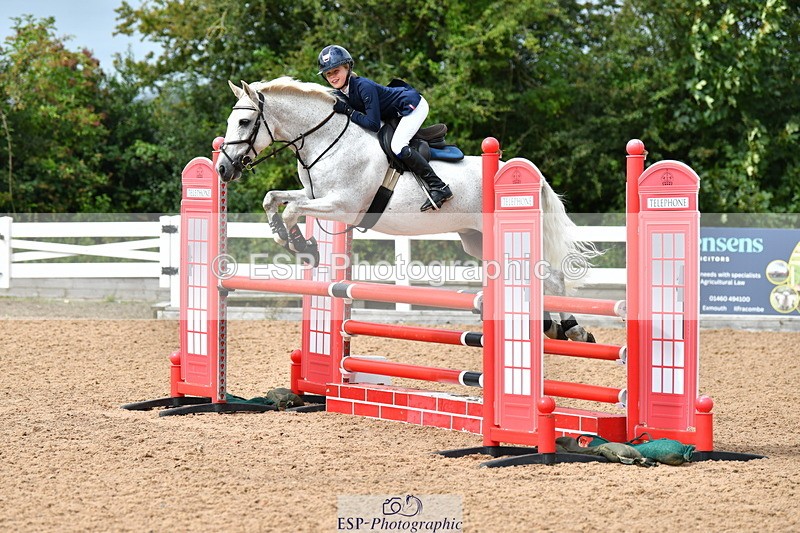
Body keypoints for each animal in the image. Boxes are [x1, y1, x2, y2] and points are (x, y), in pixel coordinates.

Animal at [218, 77, 600, 342]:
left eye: (243, 123)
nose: (222, 169)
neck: (327, 140)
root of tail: (525, 172)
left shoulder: (341, 206)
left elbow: (292, 210)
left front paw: (304, 247)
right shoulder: (314, 195)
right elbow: (273, 199)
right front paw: (291, 241)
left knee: (551, 276)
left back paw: (572, 329)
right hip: (477, 240)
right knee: (535, 277)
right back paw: (554, 327)